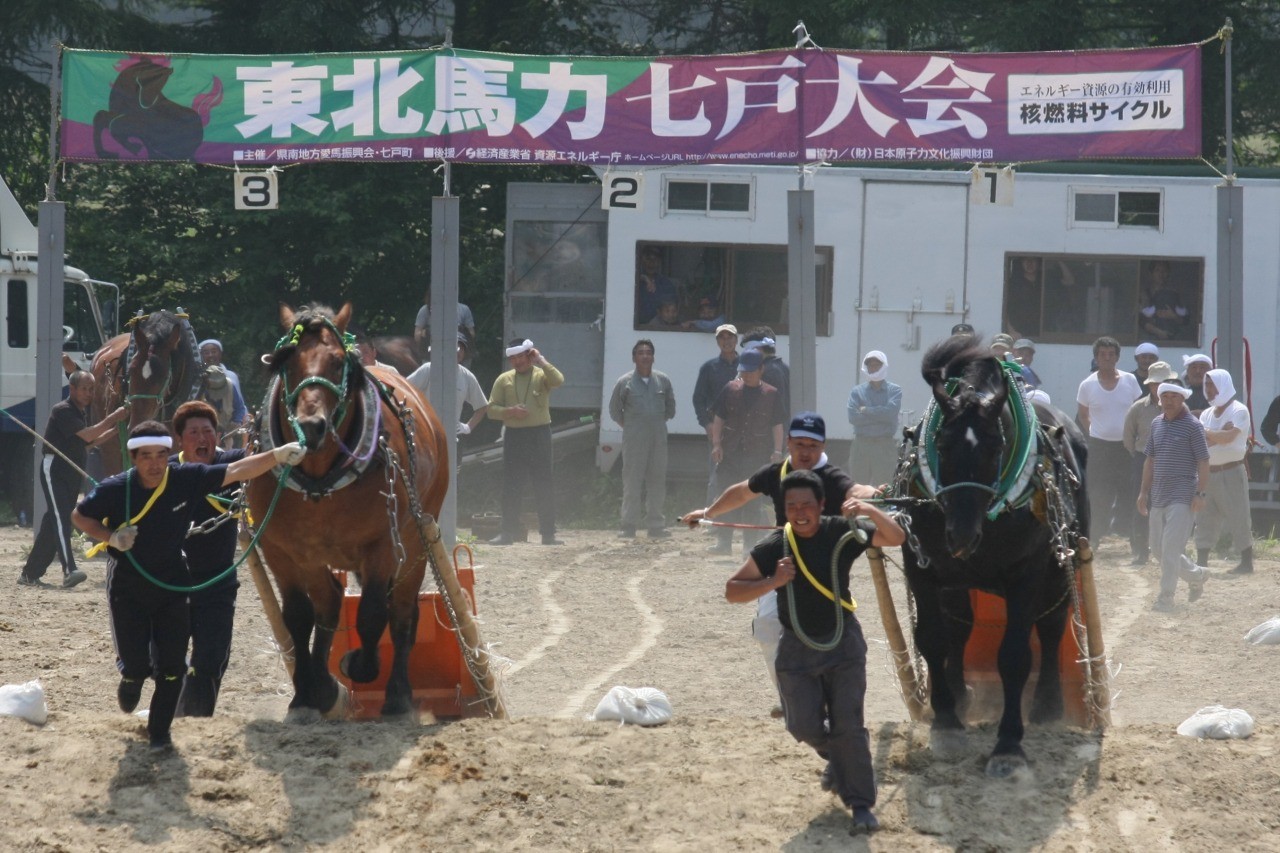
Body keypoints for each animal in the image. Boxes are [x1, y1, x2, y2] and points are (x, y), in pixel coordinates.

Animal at [248, 302, 450, 712]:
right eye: (287, 361)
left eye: (338, 362)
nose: (311, 426)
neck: (319, 477)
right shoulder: (281, 549)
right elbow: (299, 616)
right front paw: (307, 693)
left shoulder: (383, 545)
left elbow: (373, 614)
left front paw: (360, 664)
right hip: (313, 555)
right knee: (328, 602)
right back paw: (321, 686)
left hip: (418, 538)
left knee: (402, 613)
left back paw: (398, 694)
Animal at [890, 335, 1090, 773]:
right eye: (942, 443)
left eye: (997, 445)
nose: (961, 534)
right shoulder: (922, 564)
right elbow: (933, 638)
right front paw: (946, 722)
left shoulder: (1027, 572)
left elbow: (1015, 655)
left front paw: (1009, 744)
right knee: (959, 627)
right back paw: (959, 694)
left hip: (1061, 564)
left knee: (1050, 627)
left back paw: (1048, 706)